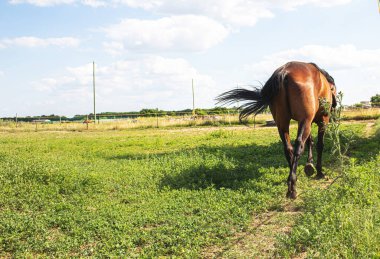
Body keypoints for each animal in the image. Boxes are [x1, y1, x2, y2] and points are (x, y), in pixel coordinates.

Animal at [217, 62, 336, 200]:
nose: (334, 106)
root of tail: (285, 71)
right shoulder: (321, 121)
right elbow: (319, 144)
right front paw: (319, 171)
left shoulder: (307, 122)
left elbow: (310, 141)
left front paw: (309, 166)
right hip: (303, 121)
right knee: (298, 146)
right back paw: (293, 188)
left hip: (283, 123)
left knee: (288, 149)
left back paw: (292, 182)